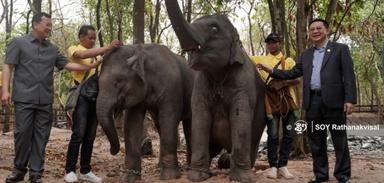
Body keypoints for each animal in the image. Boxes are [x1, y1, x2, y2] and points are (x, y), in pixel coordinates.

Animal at [164, 0, 268, 182]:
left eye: (214, 29)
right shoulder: (200, 83)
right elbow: (200, 117)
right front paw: (197, 176)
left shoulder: (244, 82)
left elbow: (240, 117)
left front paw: (242, 178)